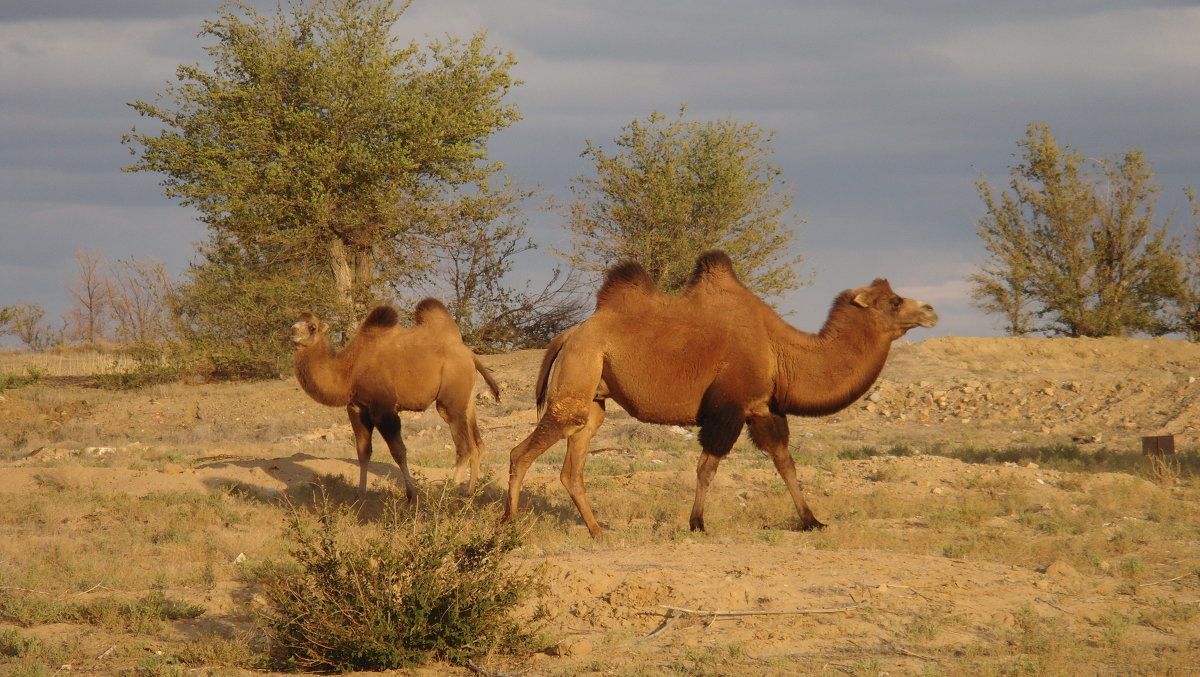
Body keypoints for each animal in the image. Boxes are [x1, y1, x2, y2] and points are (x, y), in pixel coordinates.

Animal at [288, 298, 499, 499]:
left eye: (312, 327)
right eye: (296, 321)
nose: (293, 330)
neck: (350, 370)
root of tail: (470, 354)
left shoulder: (384, 408)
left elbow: (398, 451)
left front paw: (412, 495)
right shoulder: (357, 408)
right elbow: (363, 451)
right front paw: (361, 494)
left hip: (450, 400)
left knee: (464, 447)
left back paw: (449, 493)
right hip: (467, 400)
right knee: (478, 445)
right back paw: (469, 492)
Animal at [501, 250, 940, 537]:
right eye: (894, 301)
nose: (931, 310)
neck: (780, 350)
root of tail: (568, 335)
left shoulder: (762, 408)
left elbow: (785, 463)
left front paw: (812, 520)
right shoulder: (727, 408)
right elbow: (707, 467)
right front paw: (697, 523)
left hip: (593, 397)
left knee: (573, 464)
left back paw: (598, 530)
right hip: (579, 372)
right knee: (521, 452)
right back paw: (509, 523)